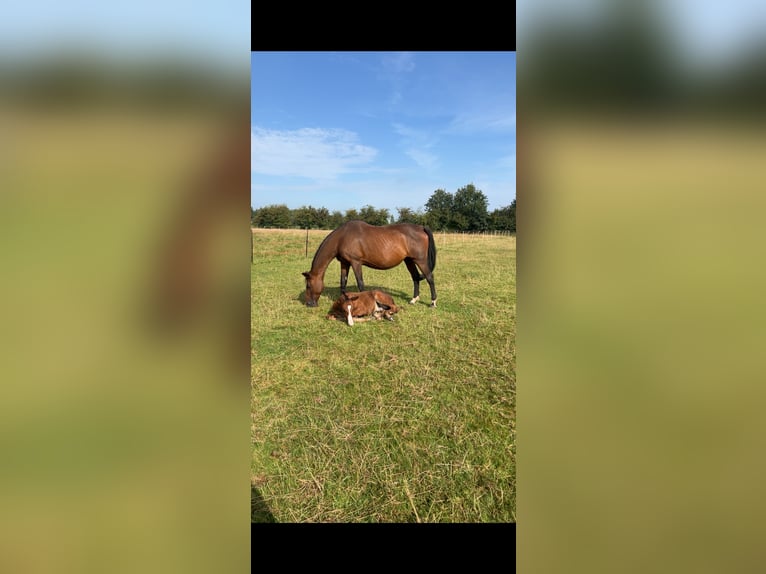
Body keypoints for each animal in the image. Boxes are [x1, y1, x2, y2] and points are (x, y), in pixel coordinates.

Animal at [302, 220, 437, 308]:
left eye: (308, 286)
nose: (309, 304)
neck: (342, 237)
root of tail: (421, 227)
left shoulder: (356, 262)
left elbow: (360, 284)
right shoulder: (345, 263)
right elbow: (343, 283)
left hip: (420, 260)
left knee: (429, 278)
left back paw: (433, 302)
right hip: (409, 260)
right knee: (415, 277)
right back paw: (414, 300)